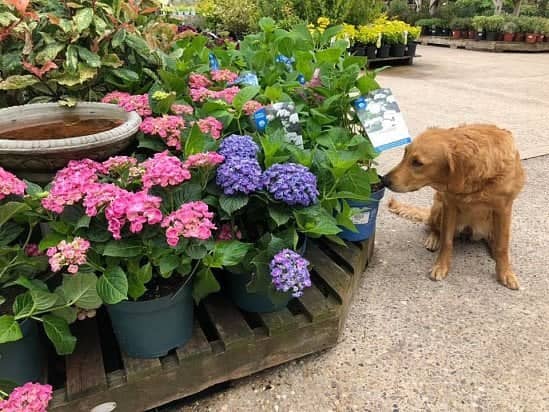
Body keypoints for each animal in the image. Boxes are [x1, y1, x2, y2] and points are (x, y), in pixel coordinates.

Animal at [378, 124, 524, 288]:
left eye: (418, 163)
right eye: (405, 154)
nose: (384, 180)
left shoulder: (503, 209)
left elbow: (503, 246)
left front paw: (505, 273)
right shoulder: (449, 204)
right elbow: (446, 241)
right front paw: (441, 266)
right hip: (438, 207)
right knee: (434, 228)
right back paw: (433, 239)